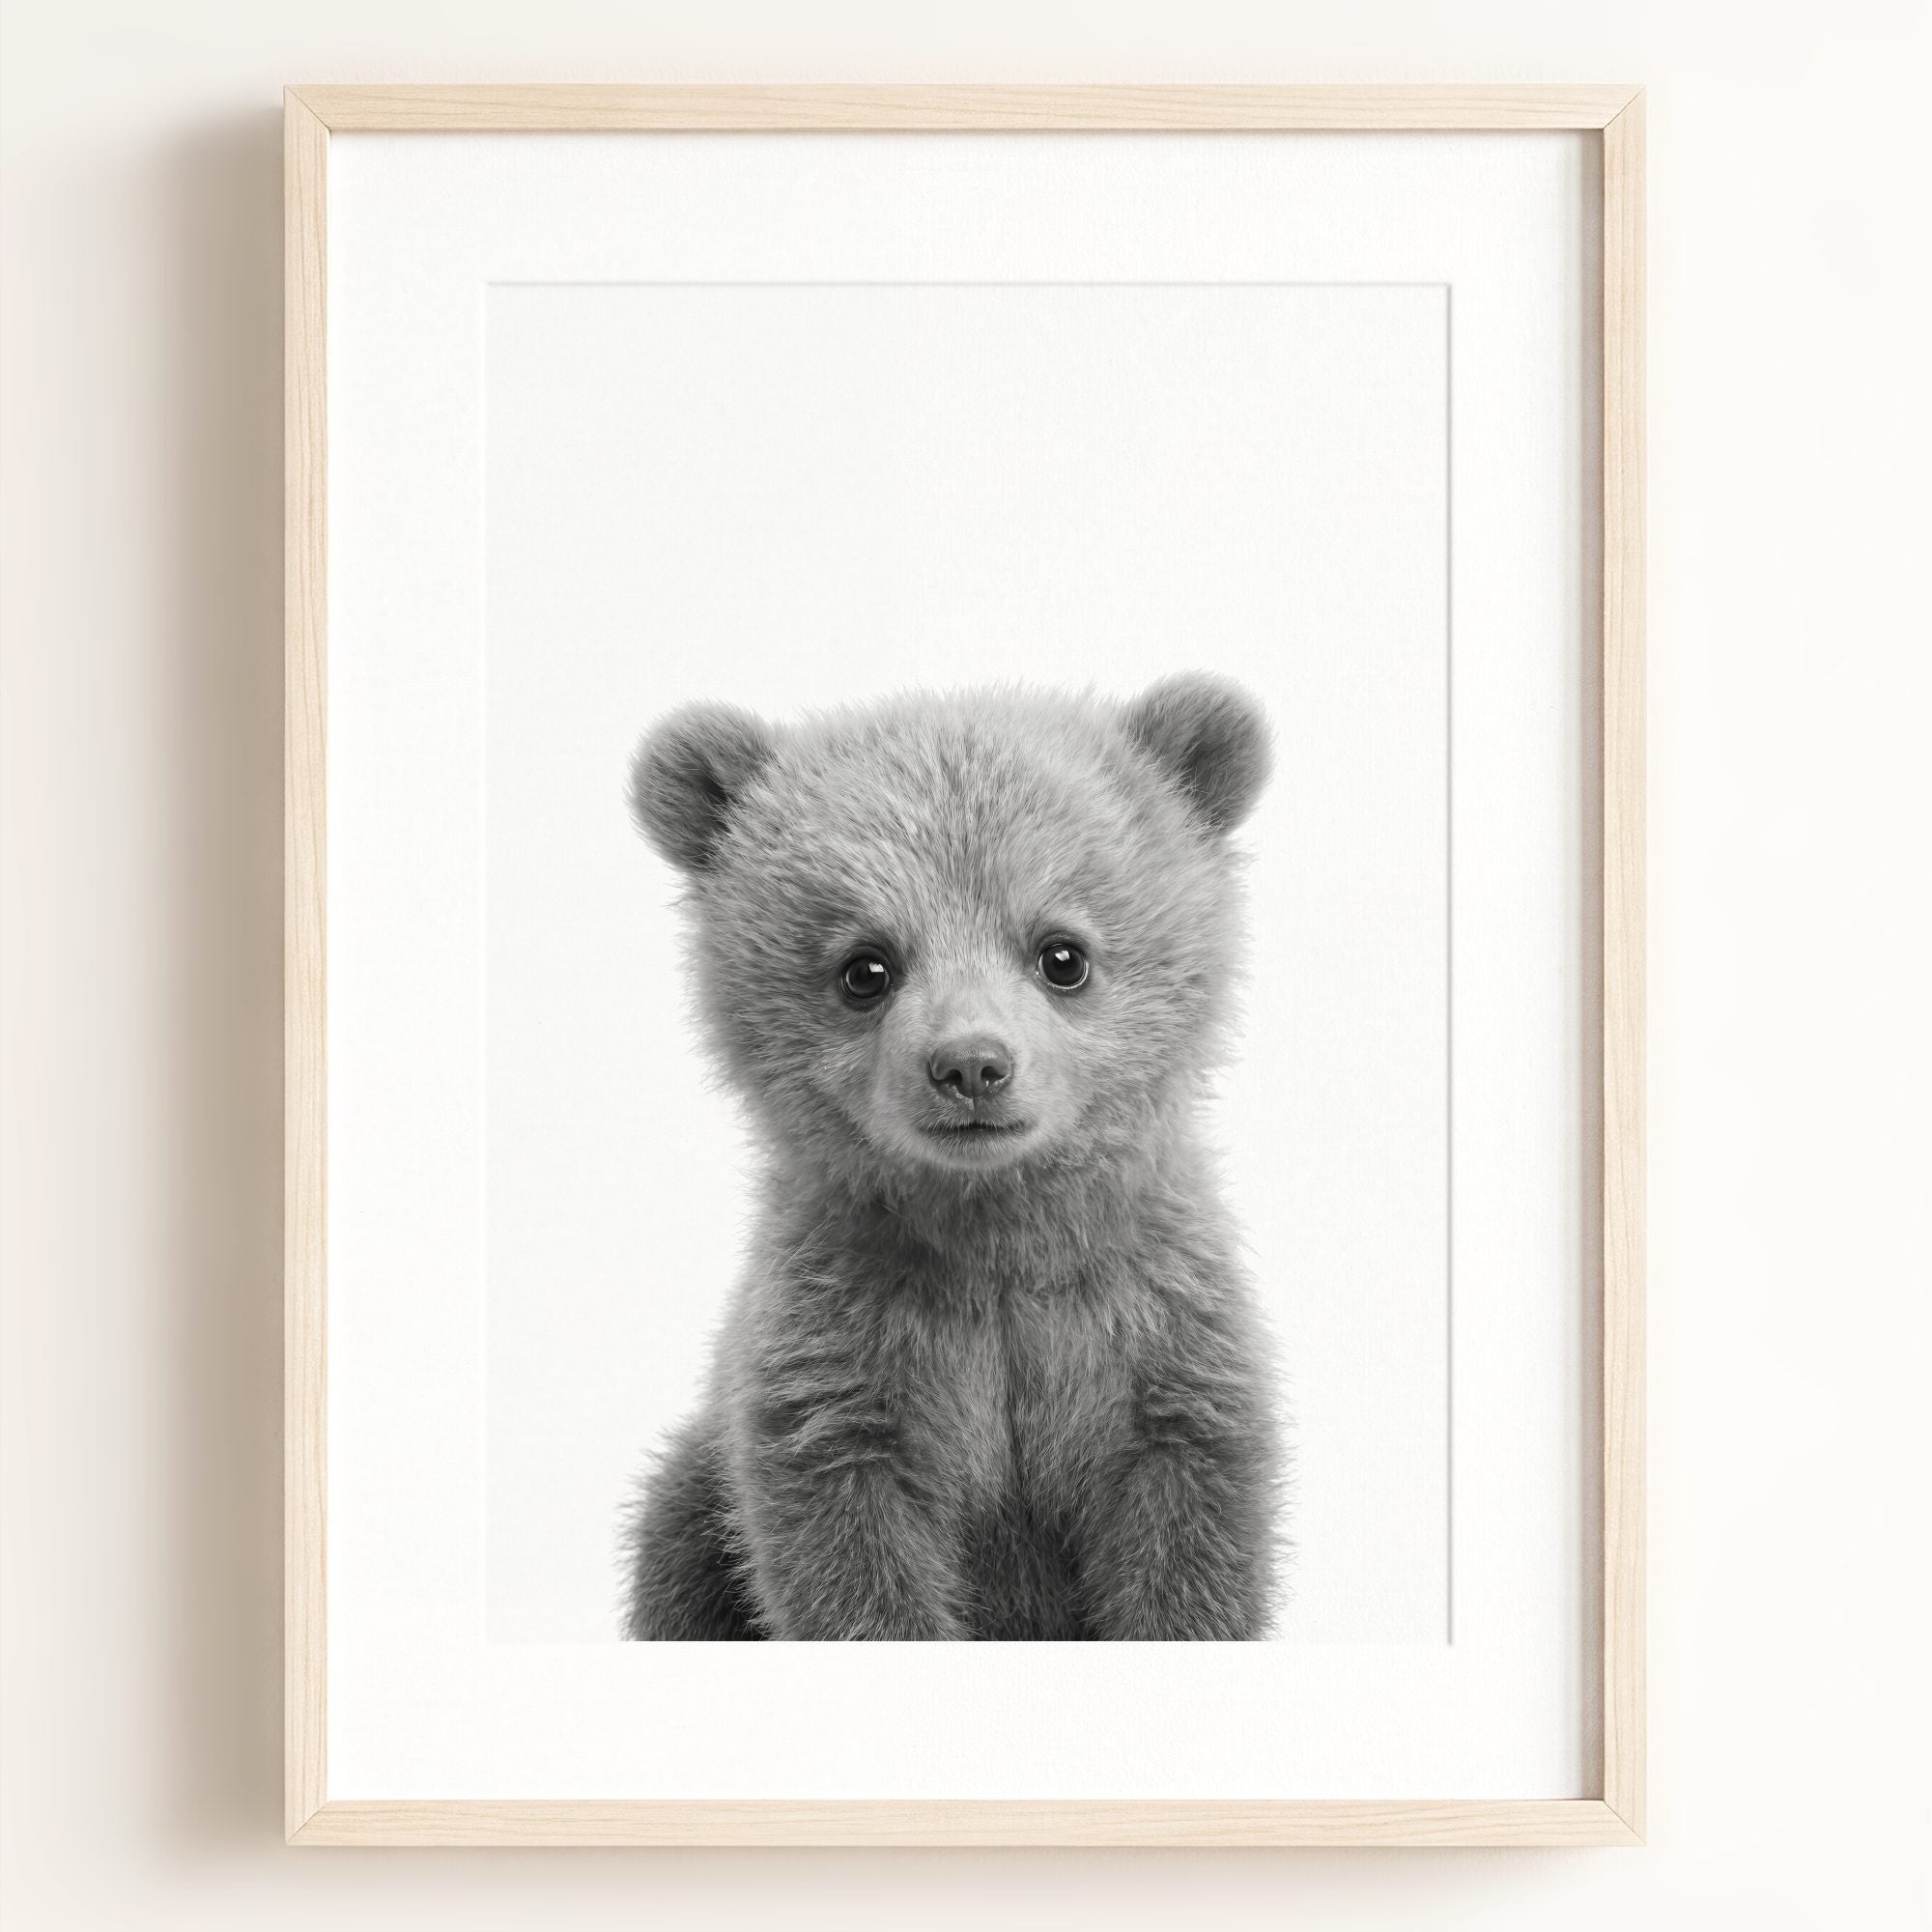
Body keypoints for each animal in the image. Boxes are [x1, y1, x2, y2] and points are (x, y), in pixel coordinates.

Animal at [619, 673, 1283, 1640]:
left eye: (1062, 954)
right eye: (865, 967)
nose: (971, 1065)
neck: (994, 1238)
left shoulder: (1154, 1342)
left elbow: (1188, 1548)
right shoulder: (843, 1364)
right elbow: (851, 1565)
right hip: (695, 1507)